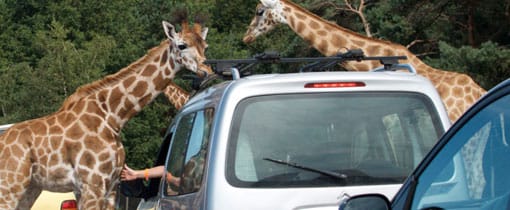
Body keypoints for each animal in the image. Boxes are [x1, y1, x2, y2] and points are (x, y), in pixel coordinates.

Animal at [0, 18, 209, 210]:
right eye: (182, 45)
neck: (113, 116)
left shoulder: (110, 187)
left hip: (30, 188)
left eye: (204, 46)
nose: (206, 70)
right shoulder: (93, 184)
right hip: (10, 186)